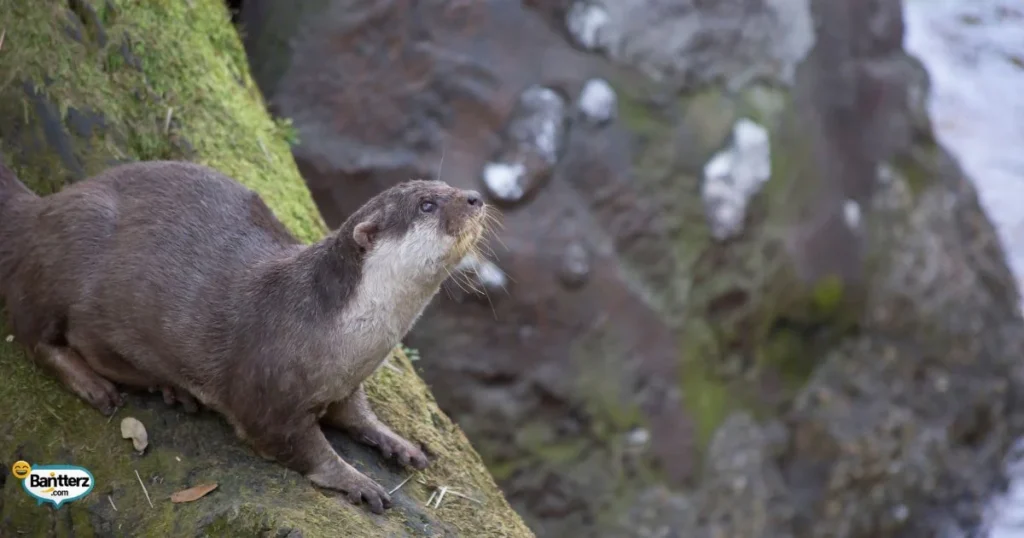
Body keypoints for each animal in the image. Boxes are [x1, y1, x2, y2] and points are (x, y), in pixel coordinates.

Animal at [0, 160, 488, 513]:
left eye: (445, 187)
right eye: (427, 204)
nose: (476, 197)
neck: (330, 329)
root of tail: (44, 207)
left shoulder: (346, 381)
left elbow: (357, 414)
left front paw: (397, 443)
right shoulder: (267, 398)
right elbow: (301, 447)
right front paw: (357, 480)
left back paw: (171, 390)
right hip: (63, 255)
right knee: (32, 334)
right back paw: (94, 387)